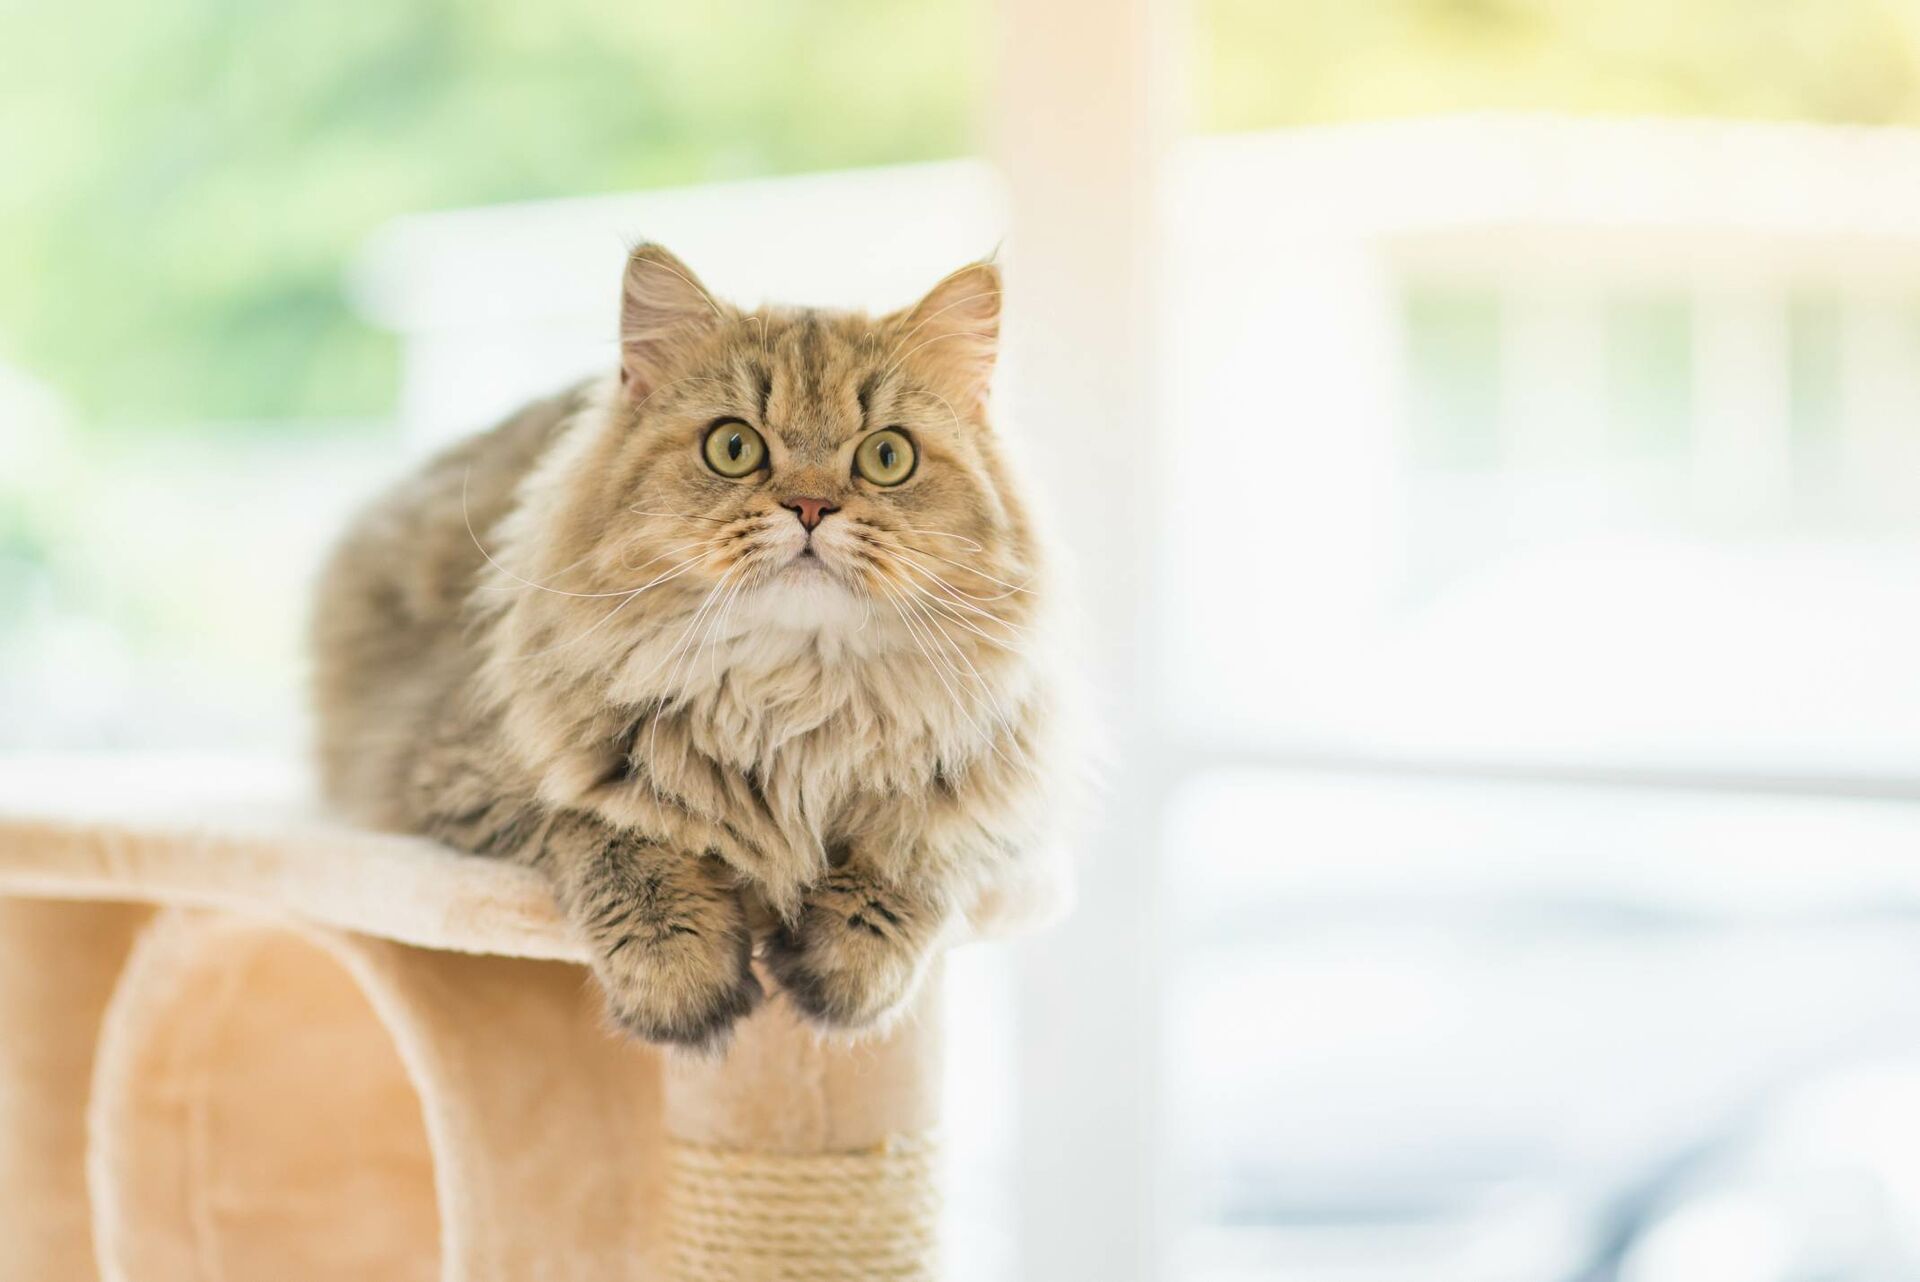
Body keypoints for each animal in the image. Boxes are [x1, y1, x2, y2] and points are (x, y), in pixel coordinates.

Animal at [314, 242, 1067, 1051]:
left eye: (887, 457)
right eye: (733, 448)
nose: (810, 507)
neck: (791, 706)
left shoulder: (1005, 809)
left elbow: (915, 854)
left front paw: (846, 974)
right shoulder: (460, 783)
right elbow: (616, 837)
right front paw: (681, 982)